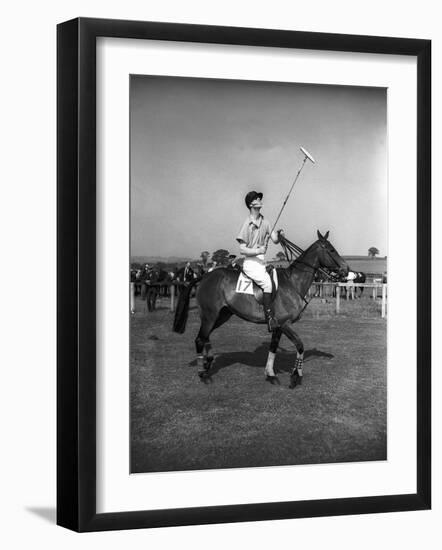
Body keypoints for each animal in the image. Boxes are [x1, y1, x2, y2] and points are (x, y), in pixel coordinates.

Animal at [173, 232, 348, 388]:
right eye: (331, 250)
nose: (346, 269)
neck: (293, 283)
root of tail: (204, 277)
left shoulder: (277, 326)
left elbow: (273, 348)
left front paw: (271, 374)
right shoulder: (284, 323)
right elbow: (300, 345)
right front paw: (295, 376)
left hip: (222, 315)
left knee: (206, 336)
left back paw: (207, 363)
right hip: (210, 316)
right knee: (200, 339)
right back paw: (202, 373)